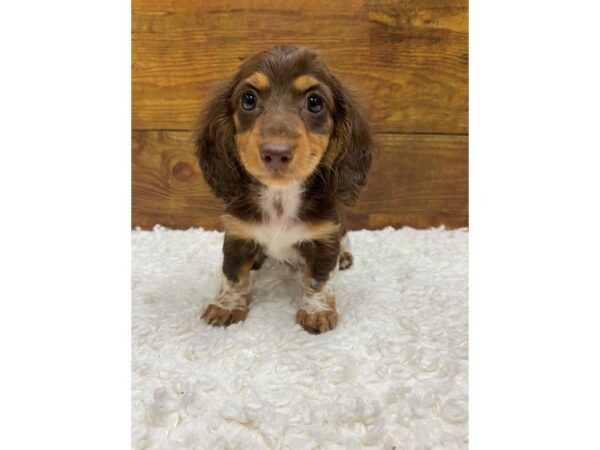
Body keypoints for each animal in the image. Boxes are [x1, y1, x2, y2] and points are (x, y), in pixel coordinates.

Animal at [197, 44, 372, 334]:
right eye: (248, 99)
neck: (280, 196)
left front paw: (317, 312)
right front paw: (227, 307)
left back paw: (345, 256)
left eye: (315, 102)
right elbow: (234, 276)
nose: (276, 153)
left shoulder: (325, 238)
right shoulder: (236, 235)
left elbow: (317, 280)